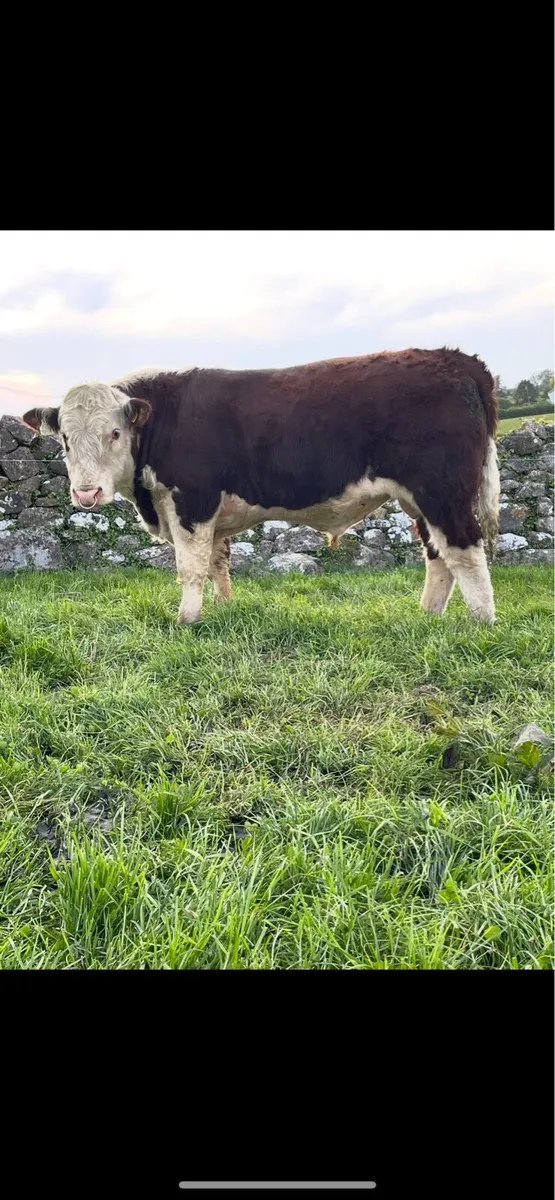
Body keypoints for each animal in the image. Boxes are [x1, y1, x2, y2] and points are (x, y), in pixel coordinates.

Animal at [23, 347, 500, 626]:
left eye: (115, 433)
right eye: (64, 439)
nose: (86, 494)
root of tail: (456, 359)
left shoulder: (193, 501)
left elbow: (190, 567)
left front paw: (186, 620)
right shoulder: (210, 513)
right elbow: (217, 564)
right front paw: (222, 610)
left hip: (443, 491)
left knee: (465, 551)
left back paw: (481, 622)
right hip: (418, 500)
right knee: (437, 555)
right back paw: (427, 617)